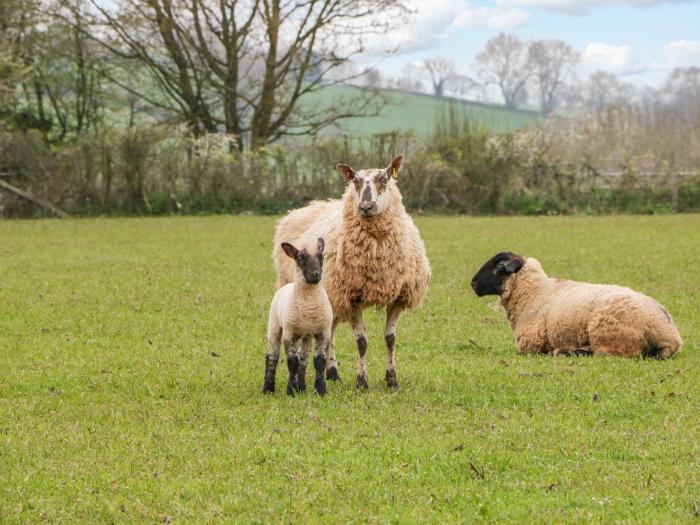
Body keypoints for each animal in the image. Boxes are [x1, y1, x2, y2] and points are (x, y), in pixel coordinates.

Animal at [272, 156, 426, 388]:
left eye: (385, 179)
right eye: (355, 181)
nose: (366, 206)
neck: (377, 254)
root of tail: (311, 206)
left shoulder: (399, 297)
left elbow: (390, 339)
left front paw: (392, 380)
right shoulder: (351, 297)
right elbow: (362, 342)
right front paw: (361, 382)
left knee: (330, 332)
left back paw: (331, 372)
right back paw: (331, 372)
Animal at [470, 252, 684, 358]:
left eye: (498, 267)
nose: (473, 283)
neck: (535, 292)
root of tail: (670, 337)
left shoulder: (530, 345)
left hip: (610, 337)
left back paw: (569, 352)